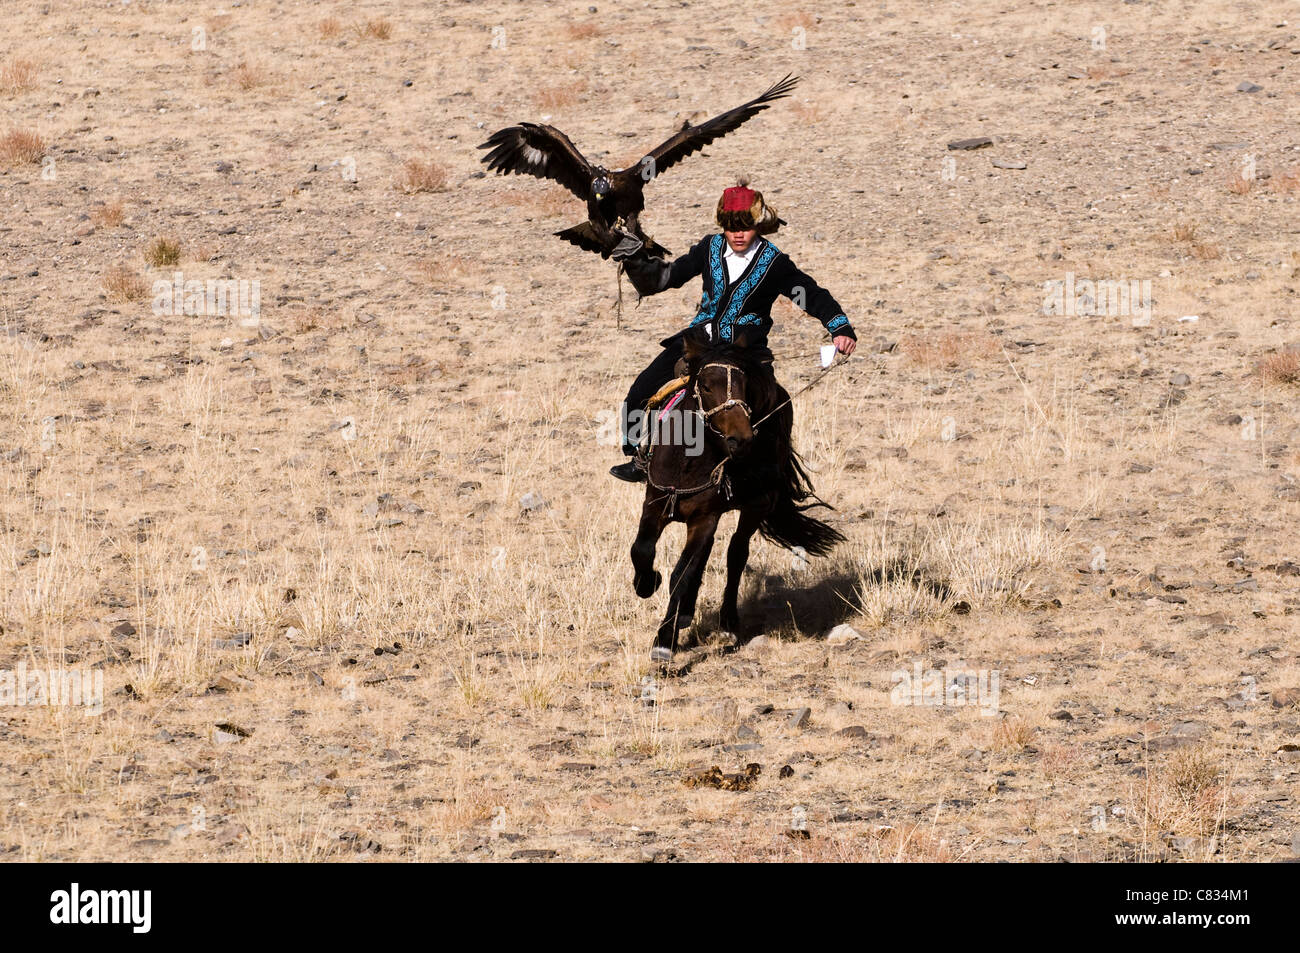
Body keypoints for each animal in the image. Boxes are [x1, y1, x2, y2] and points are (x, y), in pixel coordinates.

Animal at [626, 323, 842, 657]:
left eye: (743, 384)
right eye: (705, 385)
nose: (741, 439)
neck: (686, 461)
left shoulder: (705, 518)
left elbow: (681, 572)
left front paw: (664, 642)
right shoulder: (655, 504)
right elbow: (642, 550)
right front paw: (647, 584)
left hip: (756, 506)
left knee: (736, 554)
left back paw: (727, 622)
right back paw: (687, 613)